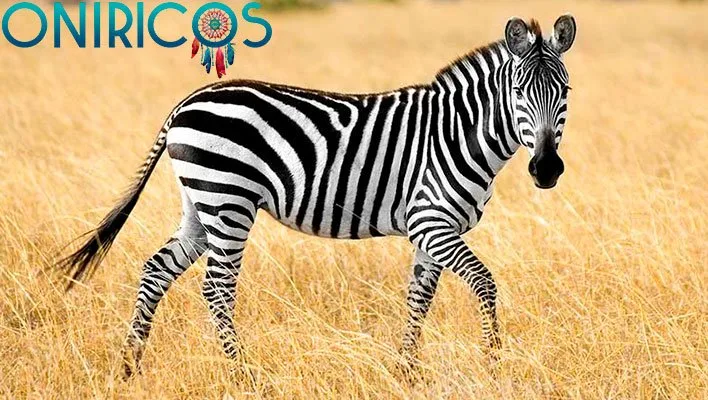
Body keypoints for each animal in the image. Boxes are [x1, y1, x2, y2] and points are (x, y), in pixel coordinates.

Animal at [56, 15, 576, 377]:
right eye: (519, 91)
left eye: (565, 91)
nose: (547, 169)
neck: (457, 132)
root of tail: (187, 102)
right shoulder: (431, 221)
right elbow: (485, 284)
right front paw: (494, 366)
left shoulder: (432, 231)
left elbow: (419, 299)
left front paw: (406, 372)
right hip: (229, 201)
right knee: (217, 288)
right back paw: (243, 375)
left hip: (200, 205)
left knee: (155, 270)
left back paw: (130, 367)